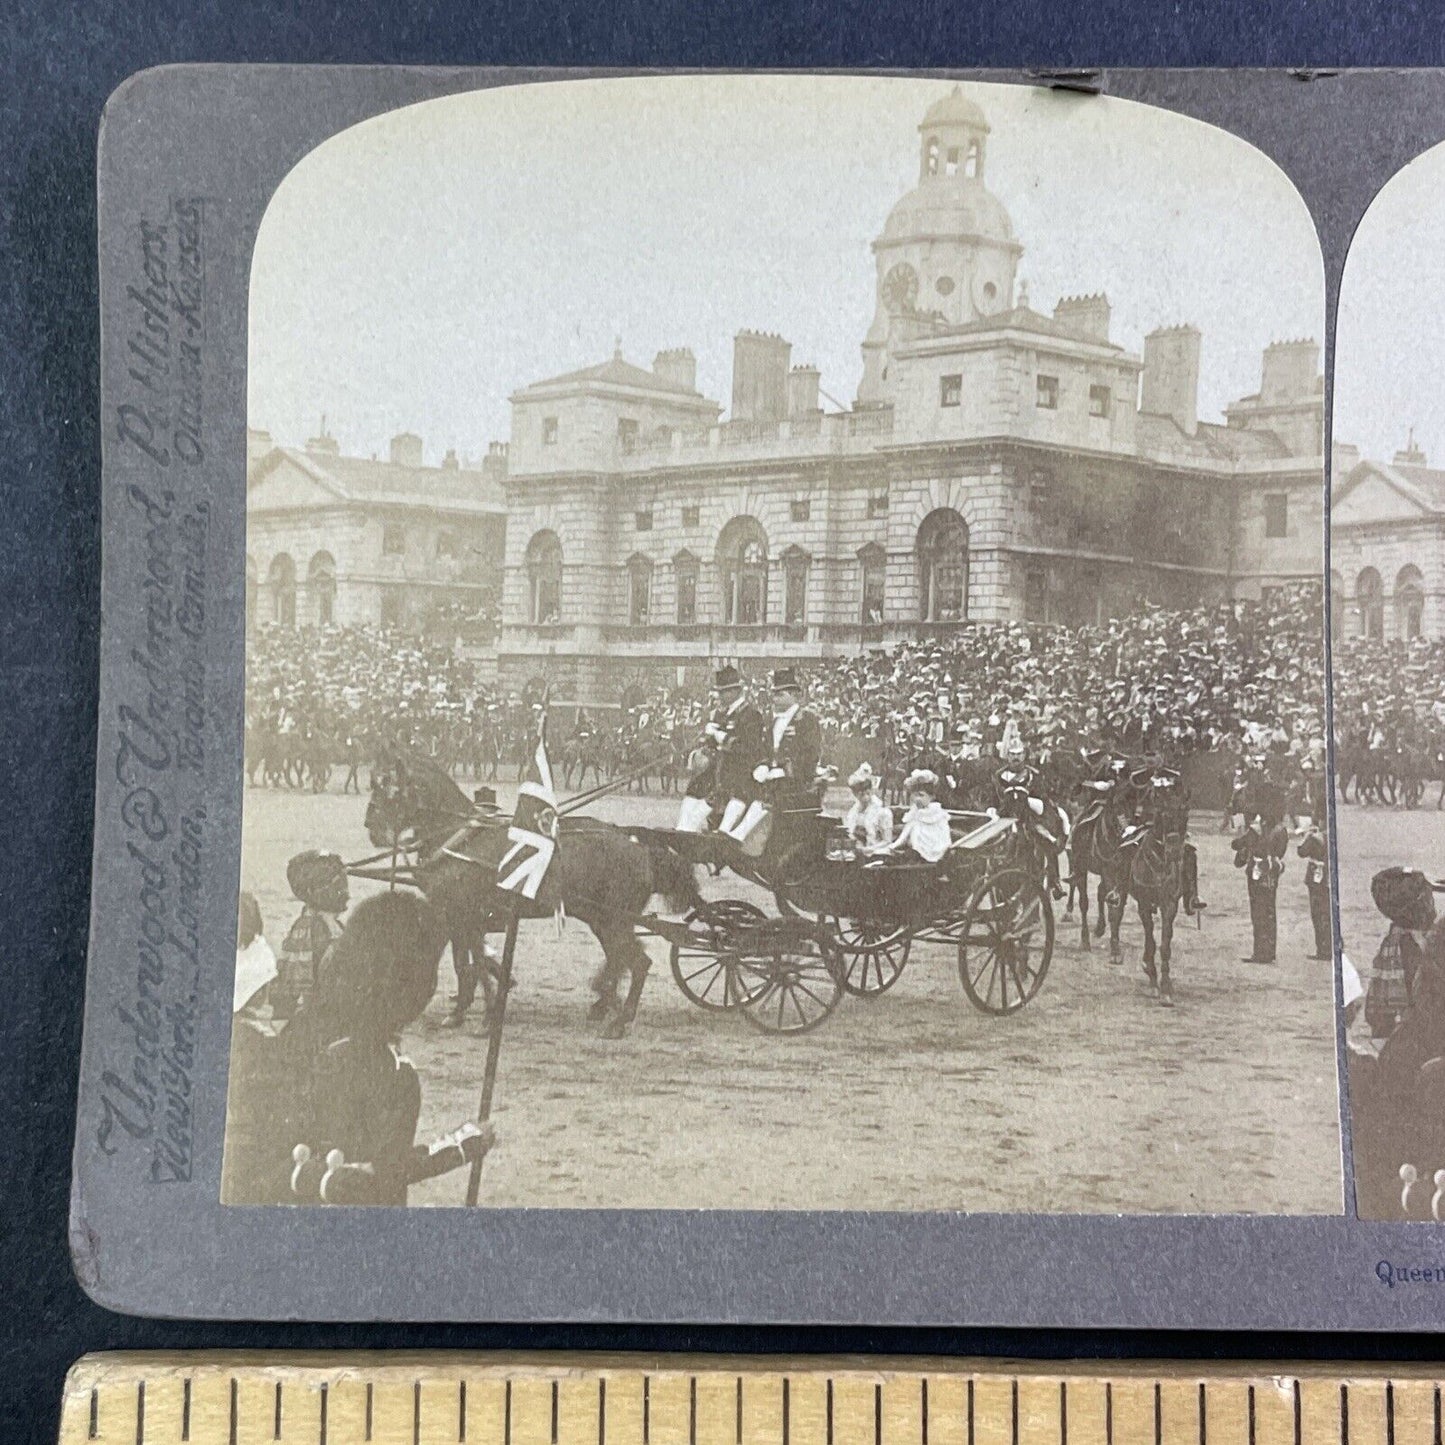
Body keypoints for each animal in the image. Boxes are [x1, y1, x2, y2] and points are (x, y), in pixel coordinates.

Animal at [361, 751, 699, 1034]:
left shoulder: (467, 914)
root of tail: (637, 846)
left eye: (388, 787)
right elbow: (465, 965)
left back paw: (619, 1019)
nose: (370, 826)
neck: (462, 840)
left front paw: (488, 1017)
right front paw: (460, 1012)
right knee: (620, 959)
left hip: (614, 919)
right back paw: (604, 1002)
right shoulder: (455, 915)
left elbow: (477, 964)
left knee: (637, 962)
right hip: (601, 919)